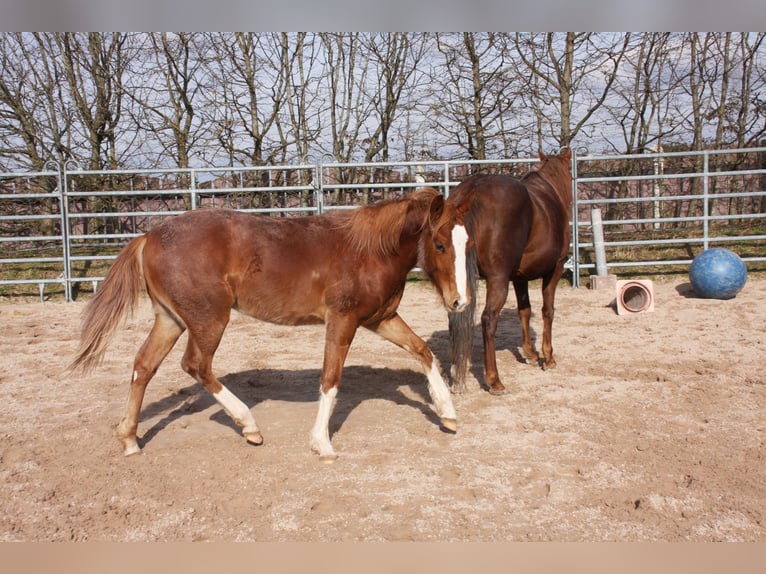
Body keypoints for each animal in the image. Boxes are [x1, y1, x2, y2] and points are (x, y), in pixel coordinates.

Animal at [70, 189, 474, 464]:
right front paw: (322, 444)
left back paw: (129, 439)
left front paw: (448, 415)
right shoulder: (342, 320)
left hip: (170, 320)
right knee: (196, 365)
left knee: (143, 366)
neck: (370, 250)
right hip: (208, 319)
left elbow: (422, 350)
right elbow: (331, 378)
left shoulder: (380, 319)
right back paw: (249, 427)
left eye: (466, 241)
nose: (460, 302)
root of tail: (148, 236)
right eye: (440, 244)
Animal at [450, 150, 576, 396]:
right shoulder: (555, 268)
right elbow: (548, 310)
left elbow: (524, 310)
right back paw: (494, 380)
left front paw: (530, 353)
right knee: (488, 320)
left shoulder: (519, 277)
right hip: (498, 280)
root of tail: (473, 190)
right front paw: (548, 356)